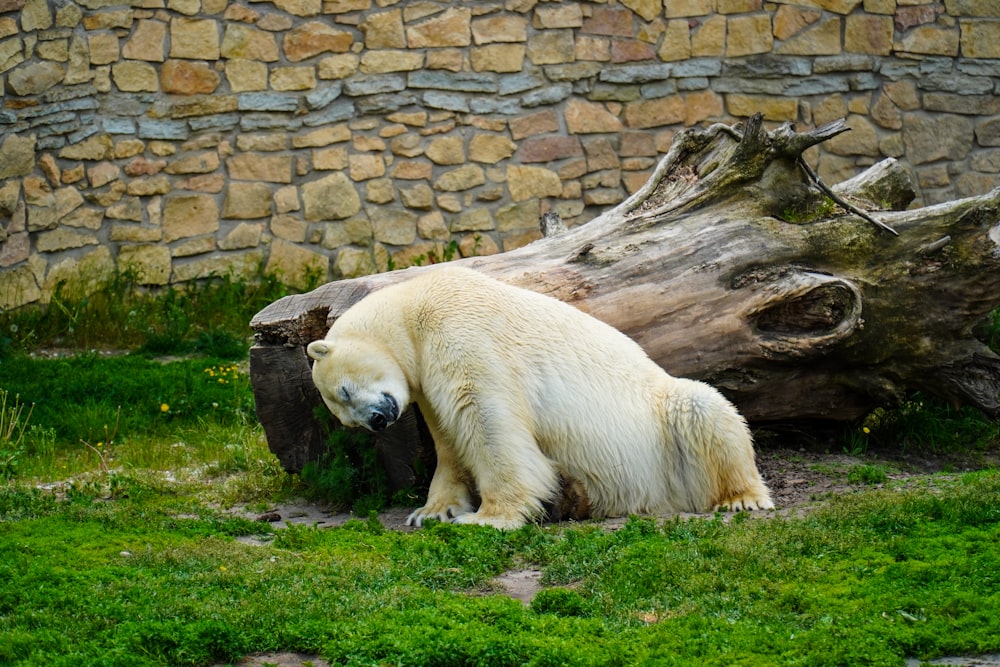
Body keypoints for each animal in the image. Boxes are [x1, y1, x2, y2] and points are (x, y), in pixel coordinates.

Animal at [304, 264, 772, 528]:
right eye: (346, 416)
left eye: (344, 390)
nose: (378, 420)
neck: (414, 303)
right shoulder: (423, 383)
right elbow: (449, 441)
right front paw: (431, 511)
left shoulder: (458, 330)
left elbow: (485, 418)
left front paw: (486, 518)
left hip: (661, 424)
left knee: (703, 407)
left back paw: (742, 498)